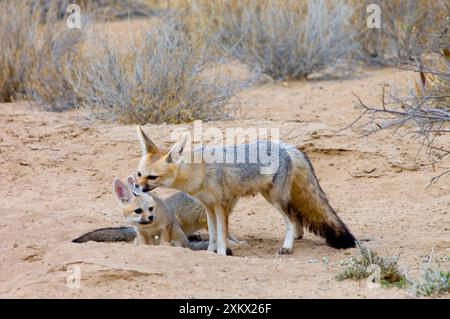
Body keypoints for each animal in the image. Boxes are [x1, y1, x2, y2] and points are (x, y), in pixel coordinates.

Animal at [134, 126, 356, 256]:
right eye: (139, 174)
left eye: (152, 177)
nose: (136, 188)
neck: (199, 171)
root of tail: (284, 146)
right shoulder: (208, 207)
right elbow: (213, 235)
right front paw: (210, 252)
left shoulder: (221, 205)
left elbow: (222, 236)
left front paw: (221, 254)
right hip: (273, 196)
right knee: (296, 217)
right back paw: (297, 238)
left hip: (275, 199)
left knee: (291, 220)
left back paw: (287, 246)